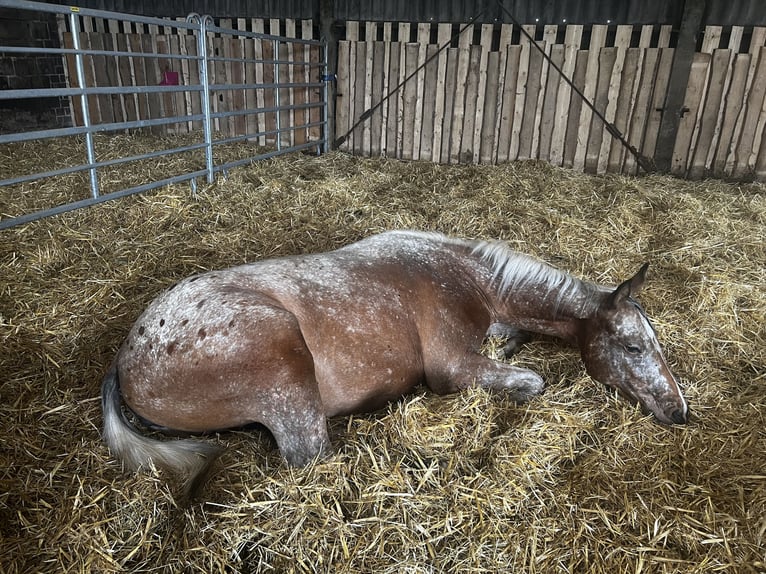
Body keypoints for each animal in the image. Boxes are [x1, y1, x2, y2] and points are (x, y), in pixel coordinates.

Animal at [102, 231, 688, 500]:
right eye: (632, 348)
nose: (679, 412)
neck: (472, 280)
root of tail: (124, 360)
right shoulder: (453, 365)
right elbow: (530, 381)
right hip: (286, 375)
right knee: (312, 457)